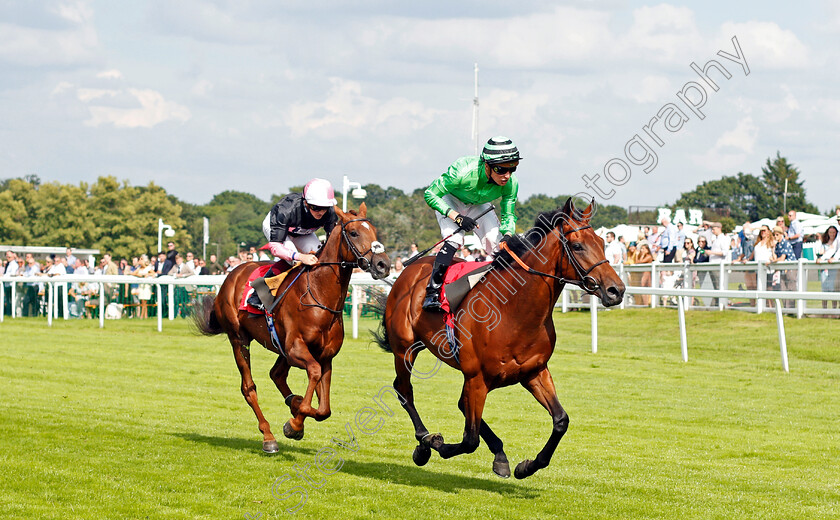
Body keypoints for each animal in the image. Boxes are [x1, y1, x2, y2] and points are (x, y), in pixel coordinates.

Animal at [196, 203, 390, 450]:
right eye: (354, 233)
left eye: (374, 232)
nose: (383, 265)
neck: (319, 294)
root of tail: (232, 274)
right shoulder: (296, 348)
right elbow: (313, 377)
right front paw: (295, 423)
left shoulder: (325, 356)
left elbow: (324, 409)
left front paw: (297, 413)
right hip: (239, 338)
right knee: (249, 387)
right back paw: (268, 436)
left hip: (280, 347)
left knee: (276, 374)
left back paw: (293, 402)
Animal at [374, 198, 624, 480]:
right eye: (578, 245)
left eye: (602, 242)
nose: (616, 290)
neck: (514, 311)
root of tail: (411, 269)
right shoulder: (477, 378)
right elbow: (469, 440)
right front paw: (435, 444)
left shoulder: (534, 371)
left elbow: (561, 421)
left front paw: (526, 466)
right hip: (404, 349)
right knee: (404, 390)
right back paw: (424, 441)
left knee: (457, 403)